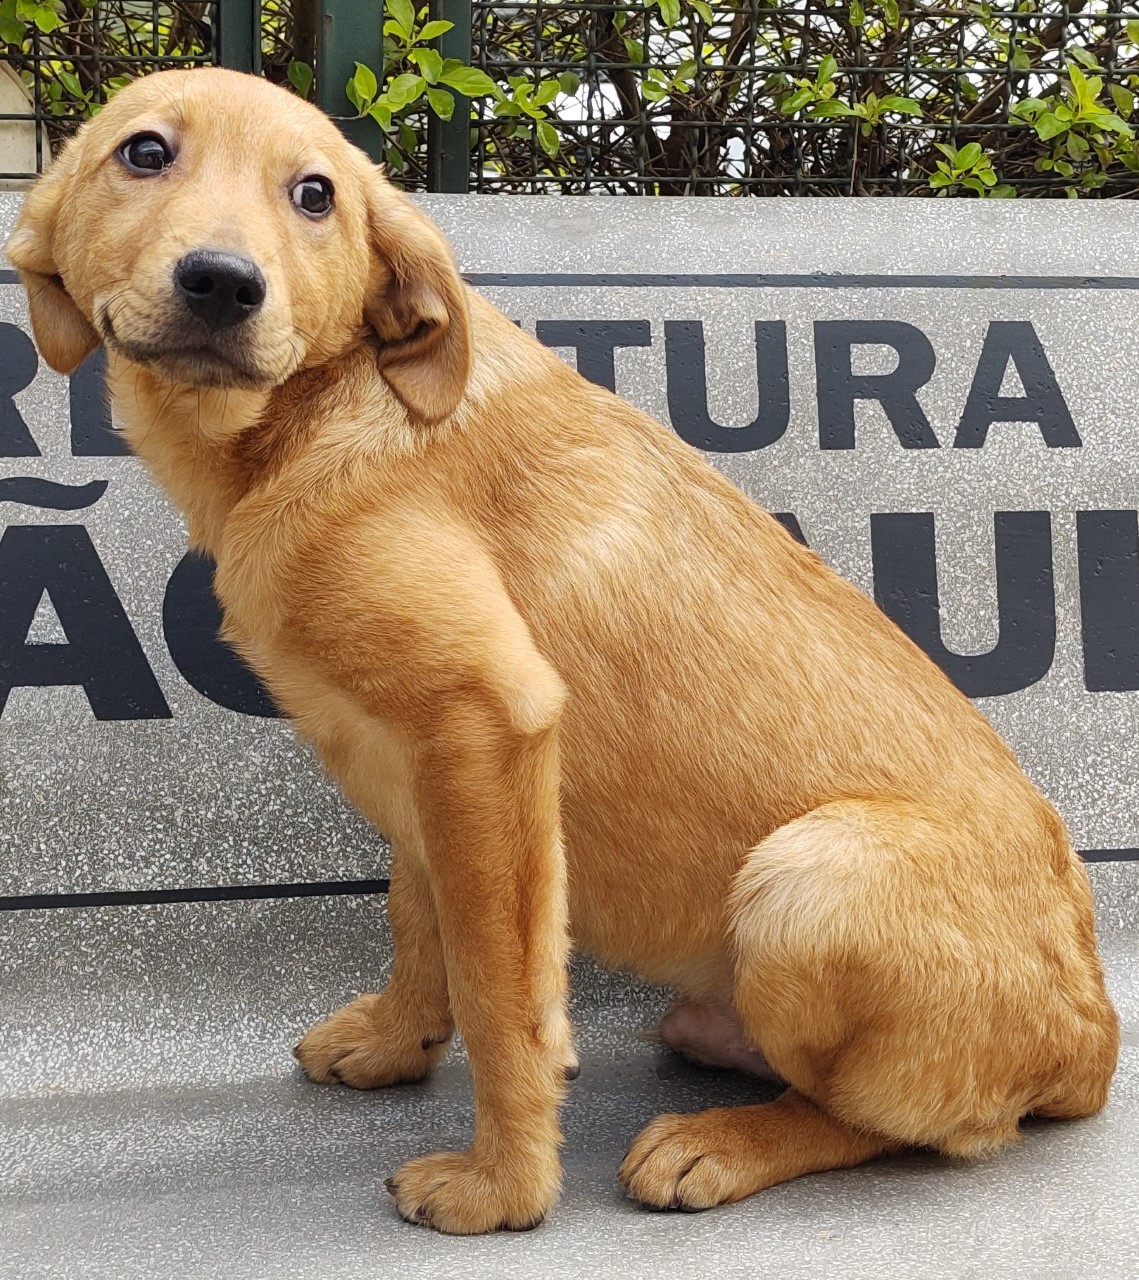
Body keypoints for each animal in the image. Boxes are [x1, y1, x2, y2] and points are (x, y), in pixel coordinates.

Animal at [8, 67, 1115, 1228]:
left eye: (314, 195)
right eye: (143, 153)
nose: (223, 284)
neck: (321, 410)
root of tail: (1094, 1039)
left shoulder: (488, 717)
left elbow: (501, 989)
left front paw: (504, 1185)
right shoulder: (418, 752)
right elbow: (420, 914)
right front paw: (396, 1041)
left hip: (813, 875)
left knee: (917, 1123)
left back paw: (723, 1140)